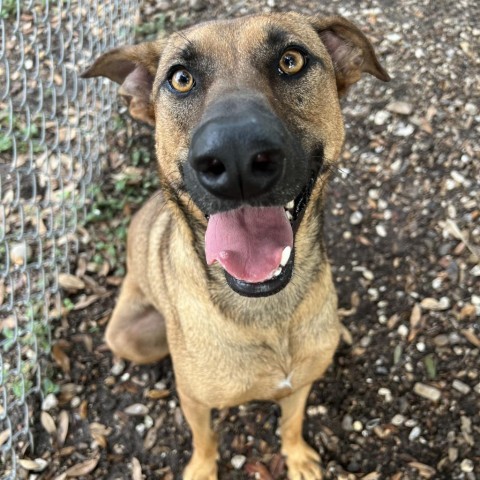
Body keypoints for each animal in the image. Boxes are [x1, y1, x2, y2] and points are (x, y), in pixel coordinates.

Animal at [83, 12, 390, 480]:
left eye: (291, 60)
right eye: (181, 79)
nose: (237, 158)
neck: (266, 311)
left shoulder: (299, 385)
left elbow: (291, 423)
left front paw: (297, 457)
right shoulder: (195, 400)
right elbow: (204, 438)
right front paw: (202, 468)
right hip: (128, 336)